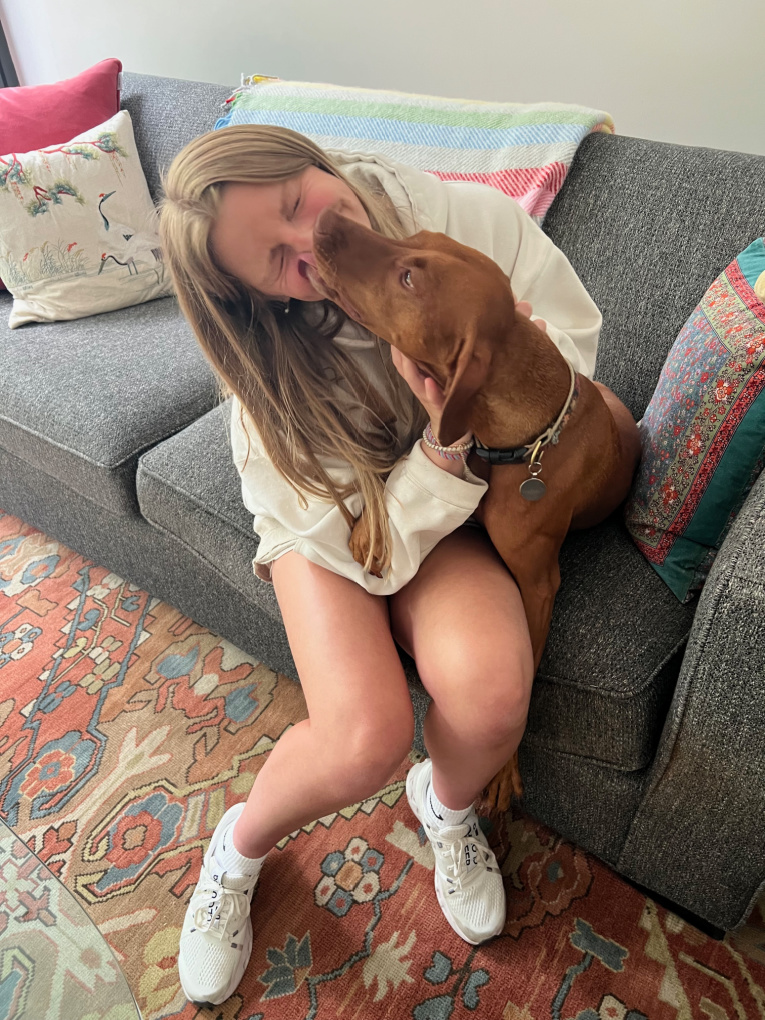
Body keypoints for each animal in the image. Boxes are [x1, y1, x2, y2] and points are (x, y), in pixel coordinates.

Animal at [309, 207, 641, 815]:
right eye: (414, 240)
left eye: (409, 280)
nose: (323, 219)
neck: (527, 439)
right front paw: (372, 526)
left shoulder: (538, 584)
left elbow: (527, 682)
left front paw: (502, 769)